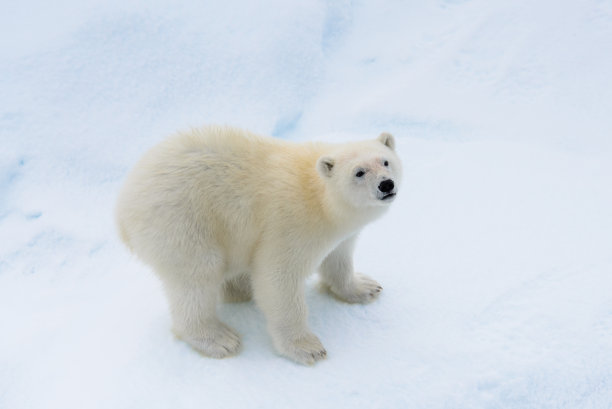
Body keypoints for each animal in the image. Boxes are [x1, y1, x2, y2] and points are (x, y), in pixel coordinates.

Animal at [116, 126, 402, 364]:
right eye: (359, 172)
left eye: (385, 161)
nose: (386, 184)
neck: (320, 198)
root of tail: (122, 212)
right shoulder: (291, 224)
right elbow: (277, 278)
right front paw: (307, 348)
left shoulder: (339, 233)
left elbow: (337, 258)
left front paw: (365, 287)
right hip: (181, 221)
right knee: (197, 278)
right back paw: (219, 338)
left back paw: (239, 288)